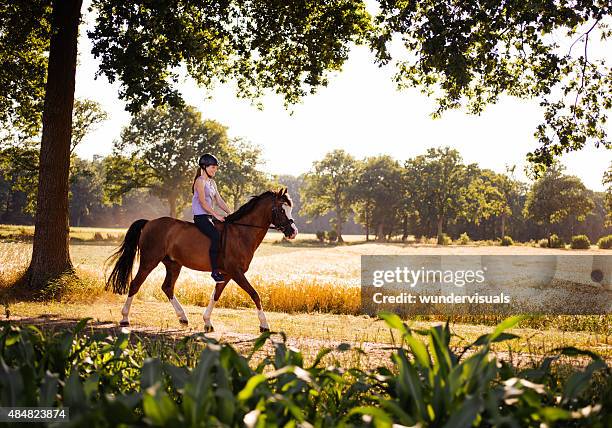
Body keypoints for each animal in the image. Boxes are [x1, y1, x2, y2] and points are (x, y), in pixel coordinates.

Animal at [106, 189, 298, 332]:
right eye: (281, 210)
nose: (293, 232)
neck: (241, 233)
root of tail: (149, 222)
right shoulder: (236, 272)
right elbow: (255, 294)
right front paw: (264, 325)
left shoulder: (226, 274)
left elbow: (216, 295)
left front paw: (207, 322)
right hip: (149, 261)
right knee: (135, 284)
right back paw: (125, 318)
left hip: (173, 265)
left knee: (167, 287)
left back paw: (183, 318)